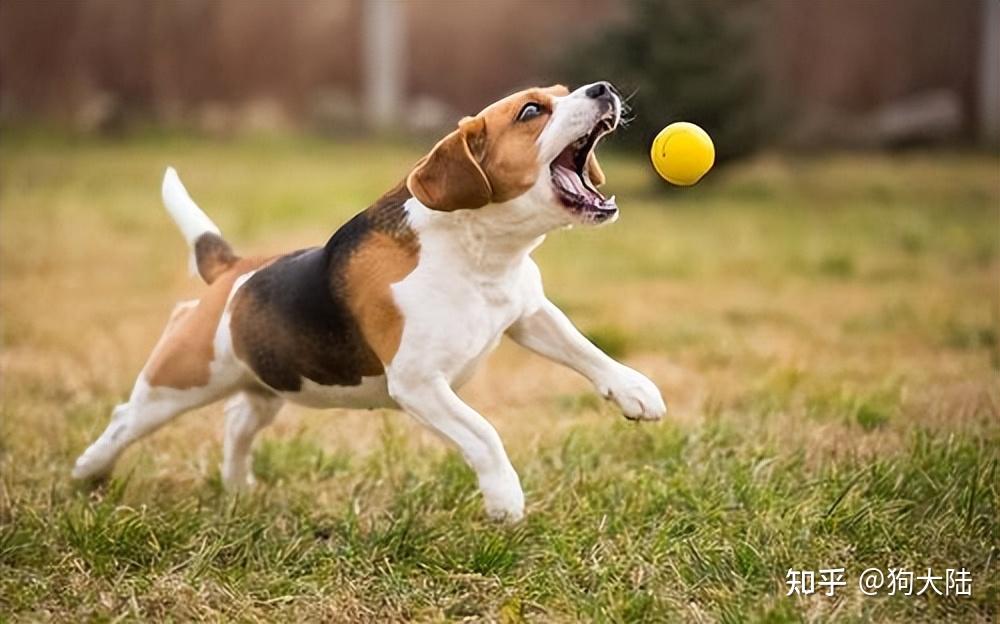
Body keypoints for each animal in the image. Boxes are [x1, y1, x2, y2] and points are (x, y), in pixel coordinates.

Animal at [74, 83, 668, 520]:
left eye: (565, 92)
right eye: (531, 111)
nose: (602, 88)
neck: (480, 252)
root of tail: (234, 271)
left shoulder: (528, 313)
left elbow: (585, 350)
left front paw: (635, 391)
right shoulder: (420, 383)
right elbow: (484, 433)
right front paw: (505, 498)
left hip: (269, 383)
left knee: (238, 418)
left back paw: (238, 486)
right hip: (179, 380)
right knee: (126, 418)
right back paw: (89, 472)